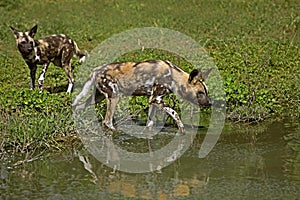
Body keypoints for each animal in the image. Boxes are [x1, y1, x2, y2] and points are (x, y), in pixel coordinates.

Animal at [72, 59, 212, 133]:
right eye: (200, 93)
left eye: (206, 92)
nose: (210, 103)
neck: (173, 77)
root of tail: (96, 70)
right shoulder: (155, 99)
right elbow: (174, 112)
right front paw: (182, 129)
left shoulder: (153, 101)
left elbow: (150, 123)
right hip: (114, 97)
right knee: (107, 121)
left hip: (97, 98)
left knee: (78, 107)